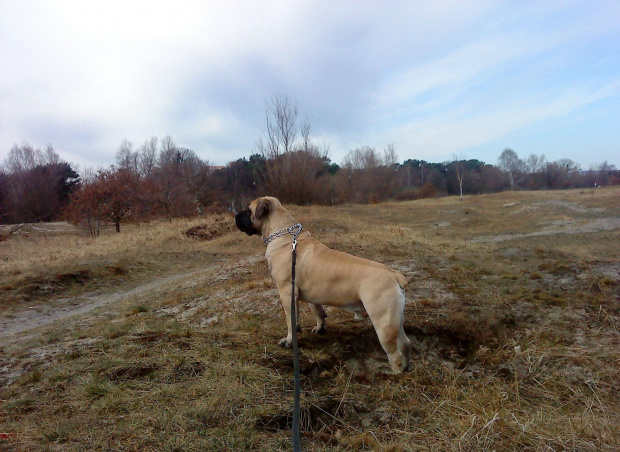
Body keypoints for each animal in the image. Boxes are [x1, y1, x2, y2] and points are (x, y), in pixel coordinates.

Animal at [234, 196, 412, 372]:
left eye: (248, 210)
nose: (235, 215)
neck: (284, 236)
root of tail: (394, 274)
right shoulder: (308, 293)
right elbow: (316, 310)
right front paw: (319, 328)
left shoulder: (286, 291)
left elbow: (290, 319)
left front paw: (289, 340)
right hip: (396, 319)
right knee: (405, 343)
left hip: (383, 322)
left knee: (394, 353)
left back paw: (396, 371)